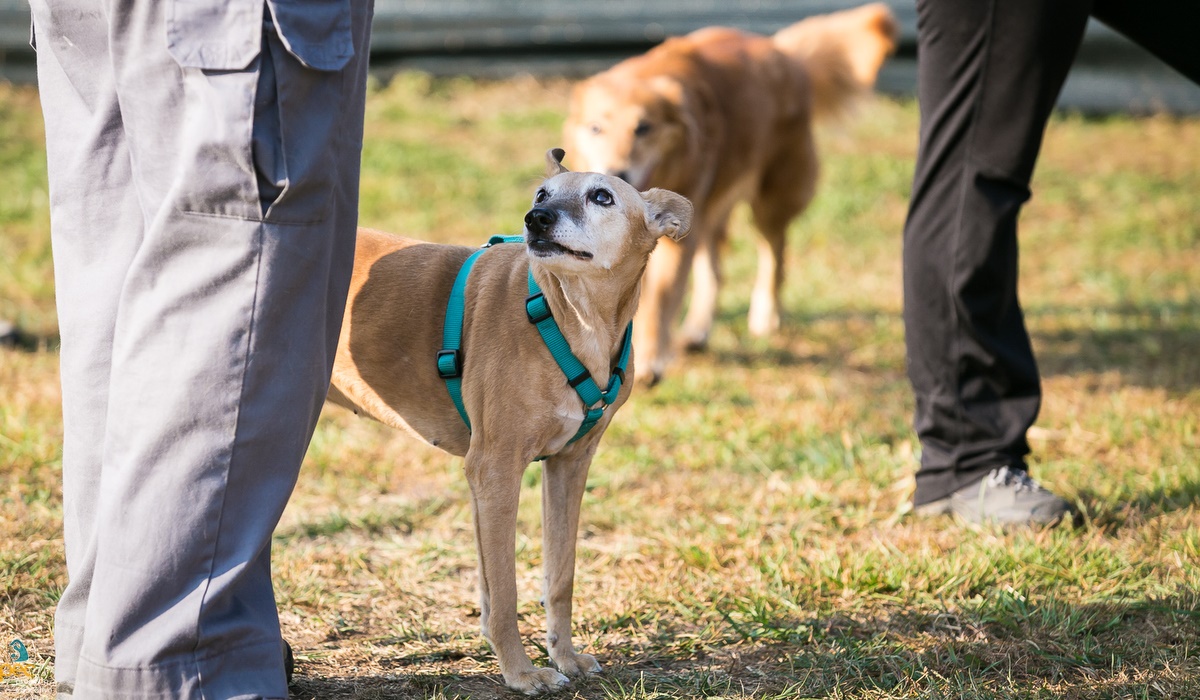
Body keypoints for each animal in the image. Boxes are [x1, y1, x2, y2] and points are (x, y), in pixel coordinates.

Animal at [328, 150, 691, 691]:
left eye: (601, 196)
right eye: (542, 194)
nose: (535, 219)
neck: (571, 317)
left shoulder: (568, 465)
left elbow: (558, 576)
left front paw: (565, 656)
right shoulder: (494, 468)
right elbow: (504, 591)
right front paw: (521, 673)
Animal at [566, 4, 897, 384]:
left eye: (643, 128)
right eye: (596, 128)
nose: (615, 174)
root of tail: (782, 51)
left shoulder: (674, 240)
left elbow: (660, 298)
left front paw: (649, 361)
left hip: (771, 199)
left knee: (775, 252)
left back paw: (765, 314)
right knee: (715, 268)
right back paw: (698, 331)